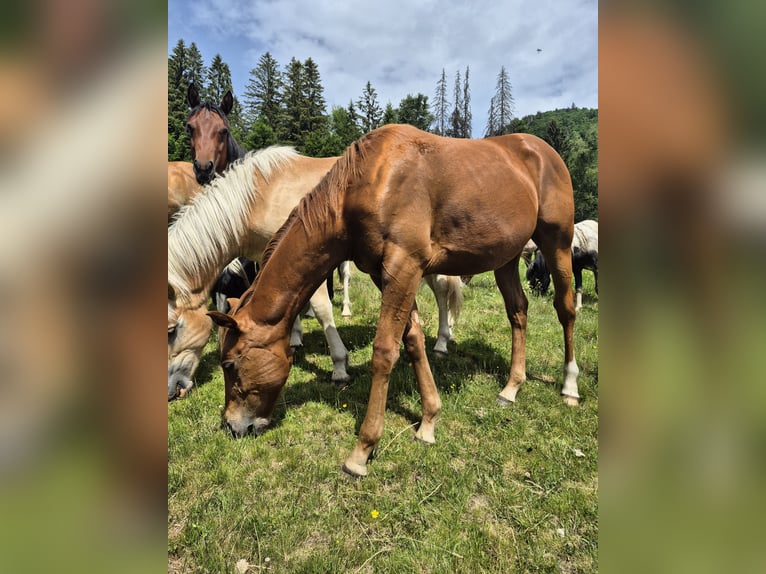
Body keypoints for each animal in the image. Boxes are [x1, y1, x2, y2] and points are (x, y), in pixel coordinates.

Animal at [207, 124, 580, 477]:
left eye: (230, 364)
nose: (232, 426)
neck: (368, 182)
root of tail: (543, 151)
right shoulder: (384, 273)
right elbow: (413, 339)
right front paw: (429, 420)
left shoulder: (404, 268)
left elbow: (384, 351)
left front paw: (362, 450)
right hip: (506, 258)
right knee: (518, 312)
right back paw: (511, 387)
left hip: (557, 243)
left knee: (565, 310)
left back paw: (570, 385)